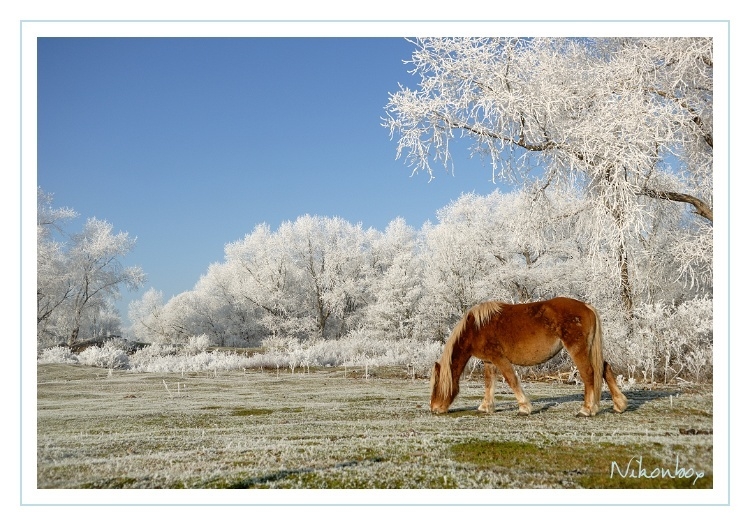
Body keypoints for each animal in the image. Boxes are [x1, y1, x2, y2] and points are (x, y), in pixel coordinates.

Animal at [428, 300, 628, 418]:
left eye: (436, 386)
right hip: (590, 350)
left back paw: (587, 409)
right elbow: (488, 384)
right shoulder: (489, 361)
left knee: (588, 374)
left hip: (577, 350)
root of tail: (587, 307)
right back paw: (619, 405)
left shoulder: (499, 358)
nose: (434, 408)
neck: (476, 327)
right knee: (604, 368)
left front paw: (524, 407)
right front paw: (486, 407)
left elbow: (511, 380)